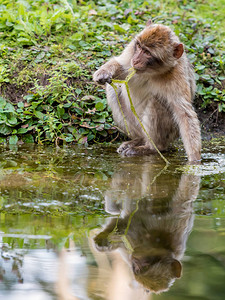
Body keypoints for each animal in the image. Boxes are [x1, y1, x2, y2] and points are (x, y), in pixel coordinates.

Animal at [92, 20, 201, 162]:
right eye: (139, 47)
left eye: (148, 53)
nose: (136, 59)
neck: (150, 72)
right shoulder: (130, 51)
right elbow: (121, 68)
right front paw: (103, 73)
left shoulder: (176, 76)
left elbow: (185, 114)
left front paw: (195, 160)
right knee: (112, 89)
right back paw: (138, 140)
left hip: (171, 132)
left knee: (157, 102)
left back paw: (151, 148)